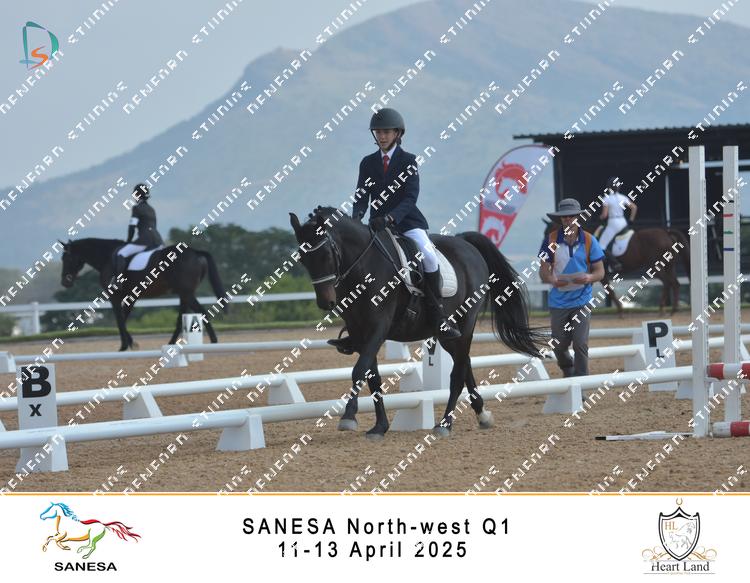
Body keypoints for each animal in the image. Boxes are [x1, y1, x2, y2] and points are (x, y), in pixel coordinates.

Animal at [59, 238, 227, 351]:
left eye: (66, 258)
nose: (65, 282)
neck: (106, 257)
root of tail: (195, 252)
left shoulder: (115, 297)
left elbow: (119, 320)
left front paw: (125, 346)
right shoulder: (131, 297)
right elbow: (124, 318)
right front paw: (132, 344)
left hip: (186, 293)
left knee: (200, 312)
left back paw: (213, 342)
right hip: (184, 294)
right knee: (182, 318)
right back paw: (172, 343)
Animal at [290, 206, 545, 440]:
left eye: (326, 255)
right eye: (303, 259)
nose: (326, 302)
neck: (365, 268)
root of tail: (465, 244)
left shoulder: (378, 328)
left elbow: (359, 370)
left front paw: (348, 417)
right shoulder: (360, 332)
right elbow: (373, 378)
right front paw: (379, 427)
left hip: (464, 325)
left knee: (457, 374)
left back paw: (444, 425)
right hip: (449, 336)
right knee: (465, 365)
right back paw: (483, 415)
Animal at [543, 220, 690, 316]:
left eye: (548, 232)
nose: (545, 251)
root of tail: (666, 233)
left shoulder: (597, 274)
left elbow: (609, 290)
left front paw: (620, 311)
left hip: (656, 266)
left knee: (667, 283)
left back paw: (662, 309)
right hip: (669, 266)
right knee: (675, 283)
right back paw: (673, 310)